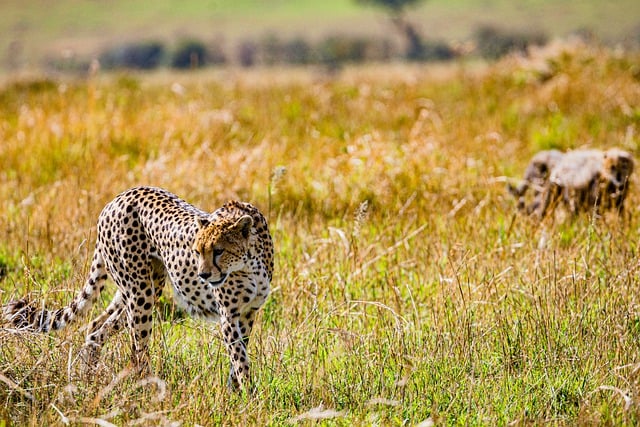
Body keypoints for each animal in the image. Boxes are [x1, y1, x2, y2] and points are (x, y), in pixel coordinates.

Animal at [3, 187, 272, 392]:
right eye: (197, 251)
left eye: (219, 251)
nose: (203, 275)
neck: (249, 262)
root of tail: (115, 200)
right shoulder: (229, 316)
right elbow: (239, 357)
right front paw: (249, 396)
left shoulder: (247, 313)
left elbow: (239, 355)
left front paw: (235, 392)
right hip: (139, 291)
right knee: (138, 345)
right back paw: (148, 389)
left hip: (141, 288)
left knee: (96, 327)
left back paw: (86, 376)